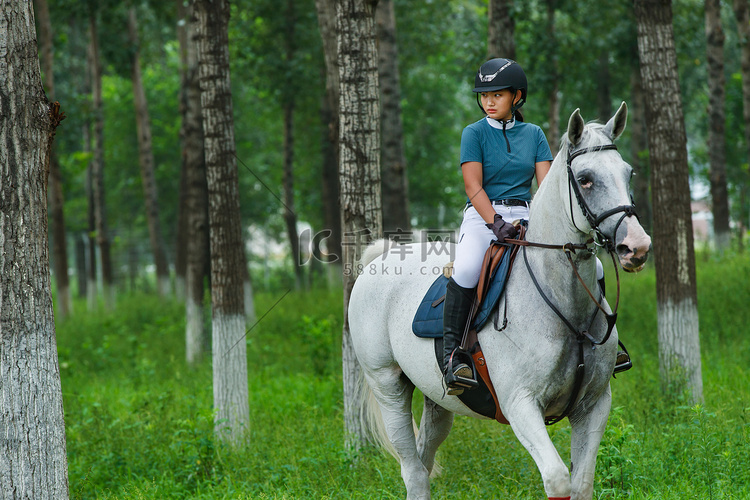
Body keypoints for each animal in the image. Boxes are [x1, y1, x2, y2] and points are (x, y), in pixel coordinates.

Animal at [350, 102, 656, 500]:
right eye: (586, 178)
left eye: (628, 172)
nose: (637, 247)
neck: (563, 304)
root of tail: (380, 257)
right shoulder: (520, 405)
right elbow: (557, 479)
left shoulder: (594, 405)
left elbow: (582, 483)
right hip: (387, 384)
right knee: (412, 470)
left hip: (437, 397)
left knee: (423, 460)